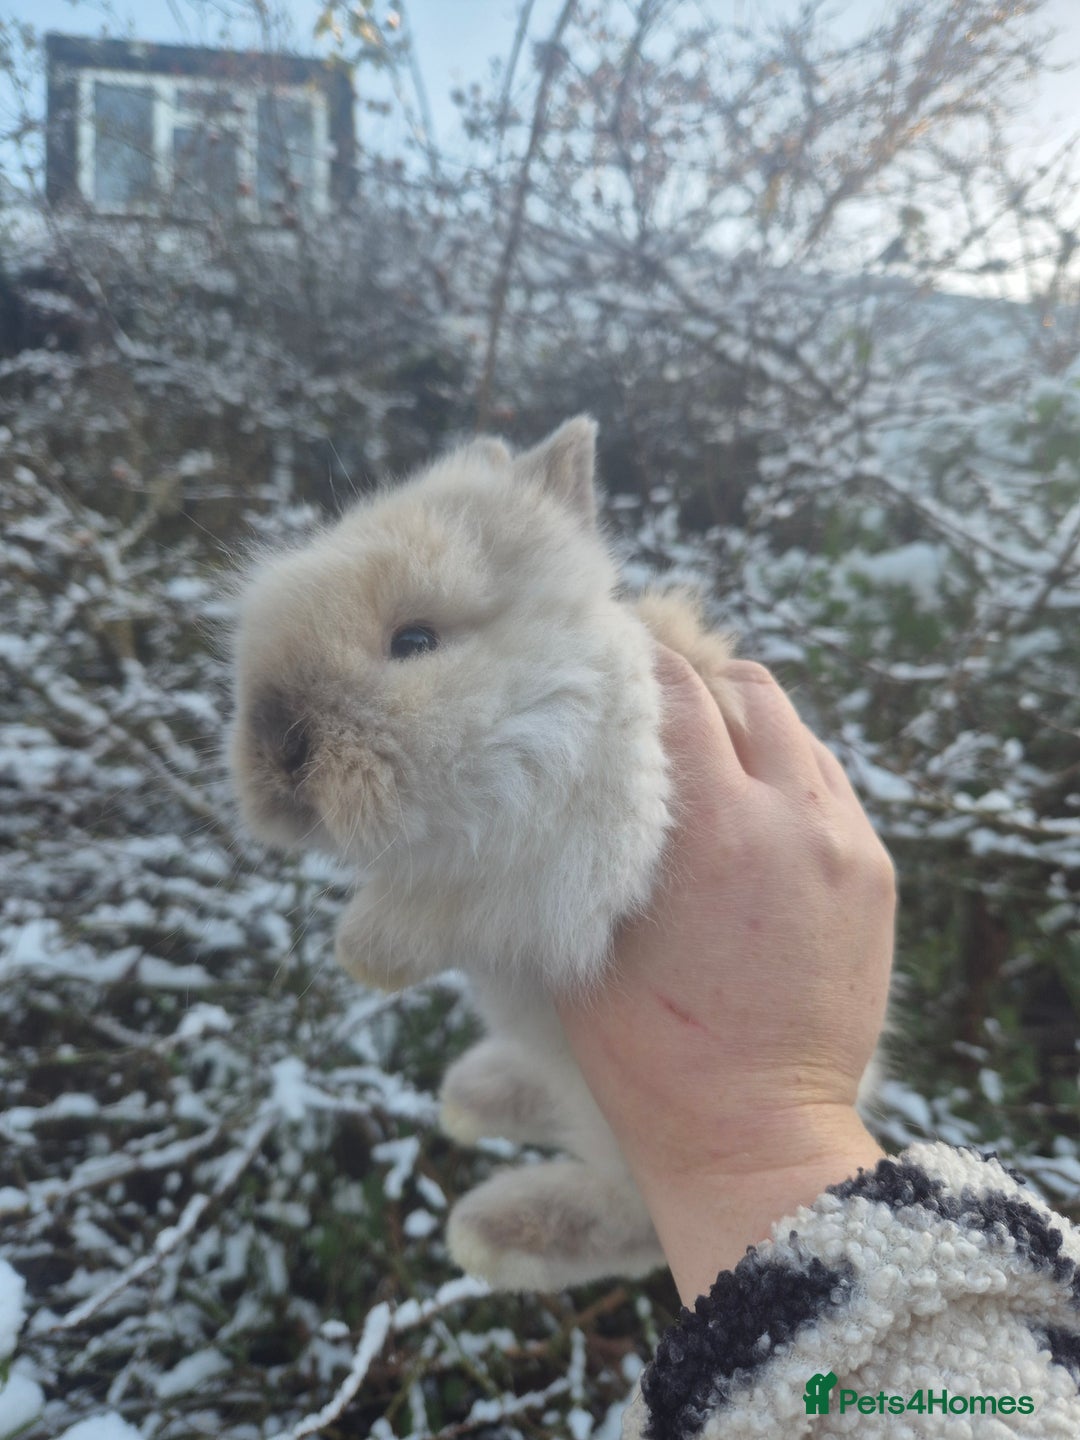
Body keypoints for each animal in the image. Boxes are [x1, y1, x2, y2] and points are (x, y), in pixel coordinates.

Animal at [228, 416, 876, 1291]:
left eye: (415, 639)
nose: (277, 752)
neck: (546, 700)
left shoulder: (569, 860)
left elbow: (446, 906)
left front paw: (361, 952)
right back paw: (475, 1096)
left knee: (637, 1222)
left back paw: (492, 1230)